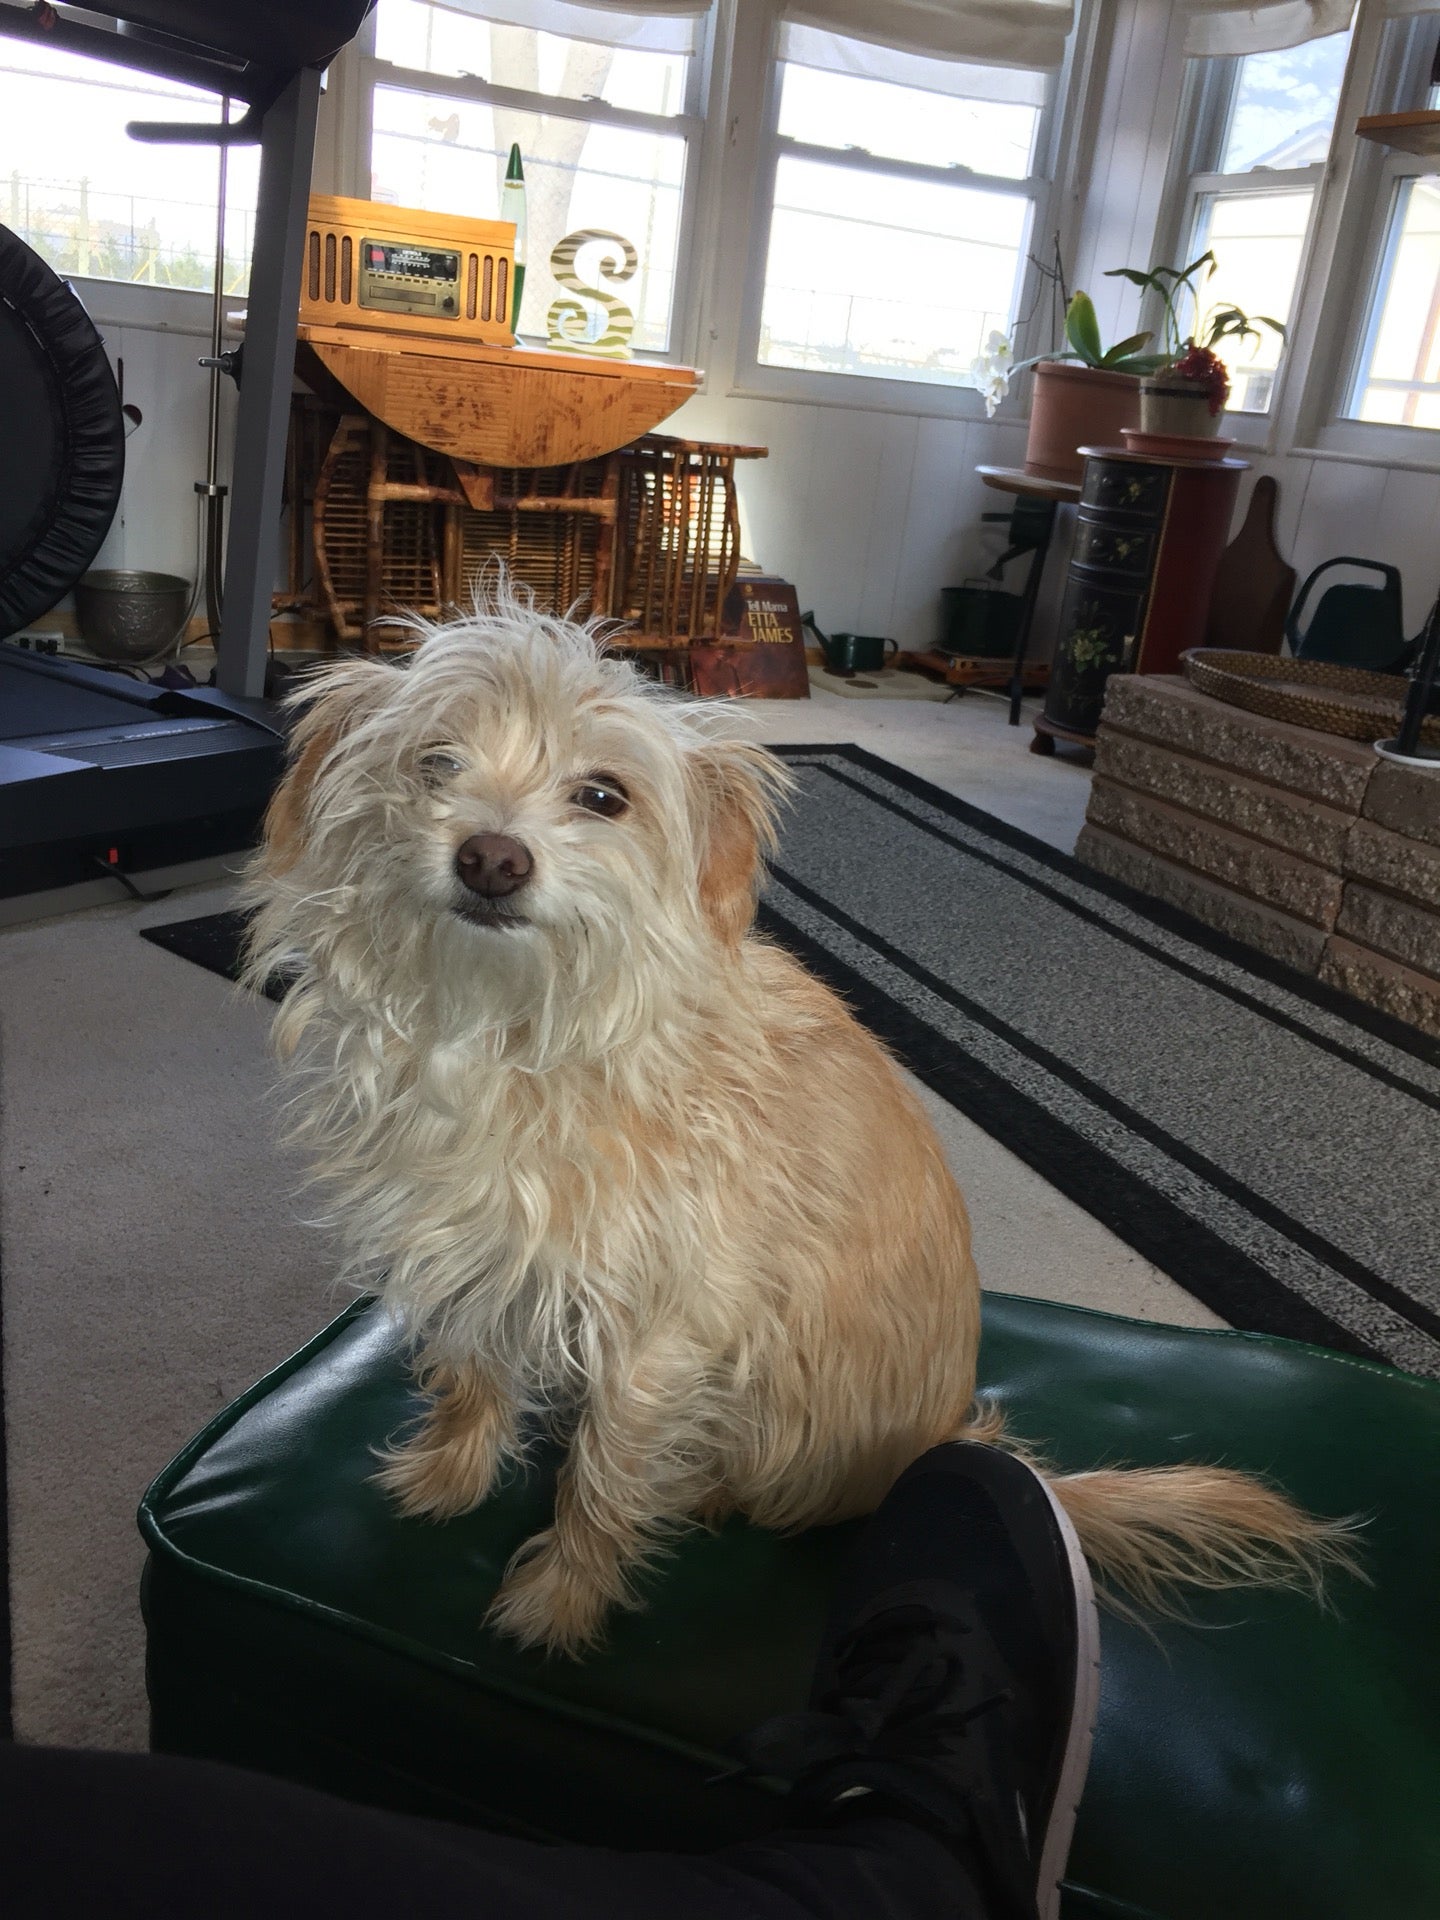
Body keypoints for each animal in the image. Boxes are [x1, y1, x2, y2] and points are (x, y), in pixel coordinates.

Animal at [245, 599, 1351, 1651]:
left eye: (603, 796)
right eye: (435, 762)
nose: (489, 859)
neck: (512, 1033)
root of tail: (947, 1441)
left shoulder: (659, 1332)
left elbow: (604, 1476)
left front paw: (560, 1603)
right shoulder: (476, 1250)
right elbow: (473, 1371)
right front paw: (449, 1477)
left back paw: (694, 1490)